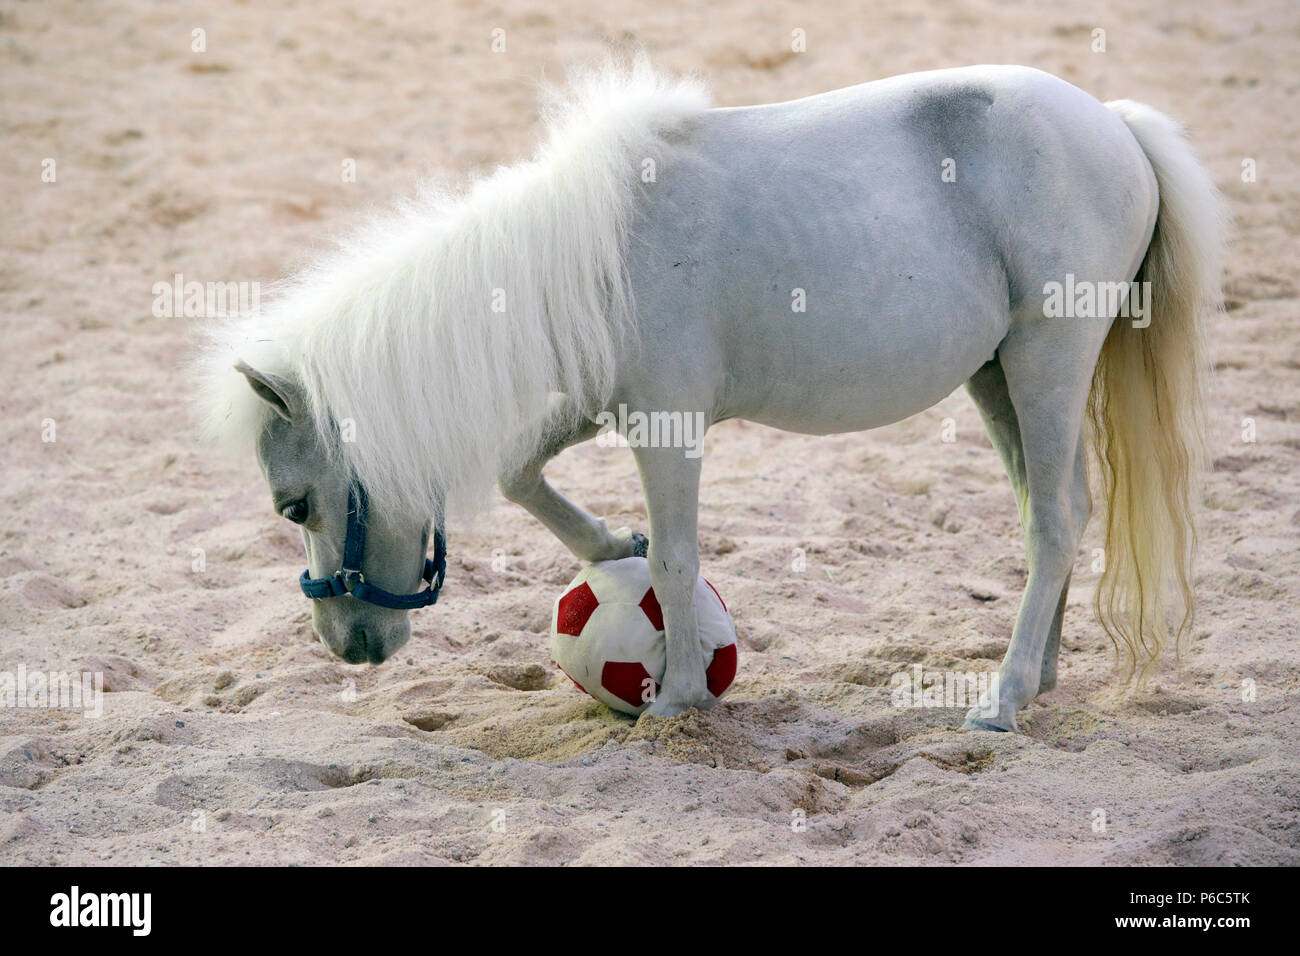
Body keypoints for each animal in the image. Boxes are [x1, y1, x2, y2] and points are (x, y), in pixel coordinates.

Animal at [202, 59, 1216, 733]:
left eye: (294, 503)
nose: (346, 646)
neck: (586, 257)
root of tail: (1117, 122)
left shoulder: (668, 427)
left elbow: (680, 560)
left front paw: (680, 698)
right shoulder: (601, 403)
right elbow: (522, 473)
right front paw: (610, 544)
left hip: (1049, 361)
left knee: (1053, 520)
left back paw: (1002, 701)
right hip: (998, 377)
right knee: (1059, 509)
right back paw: (1039, 678)